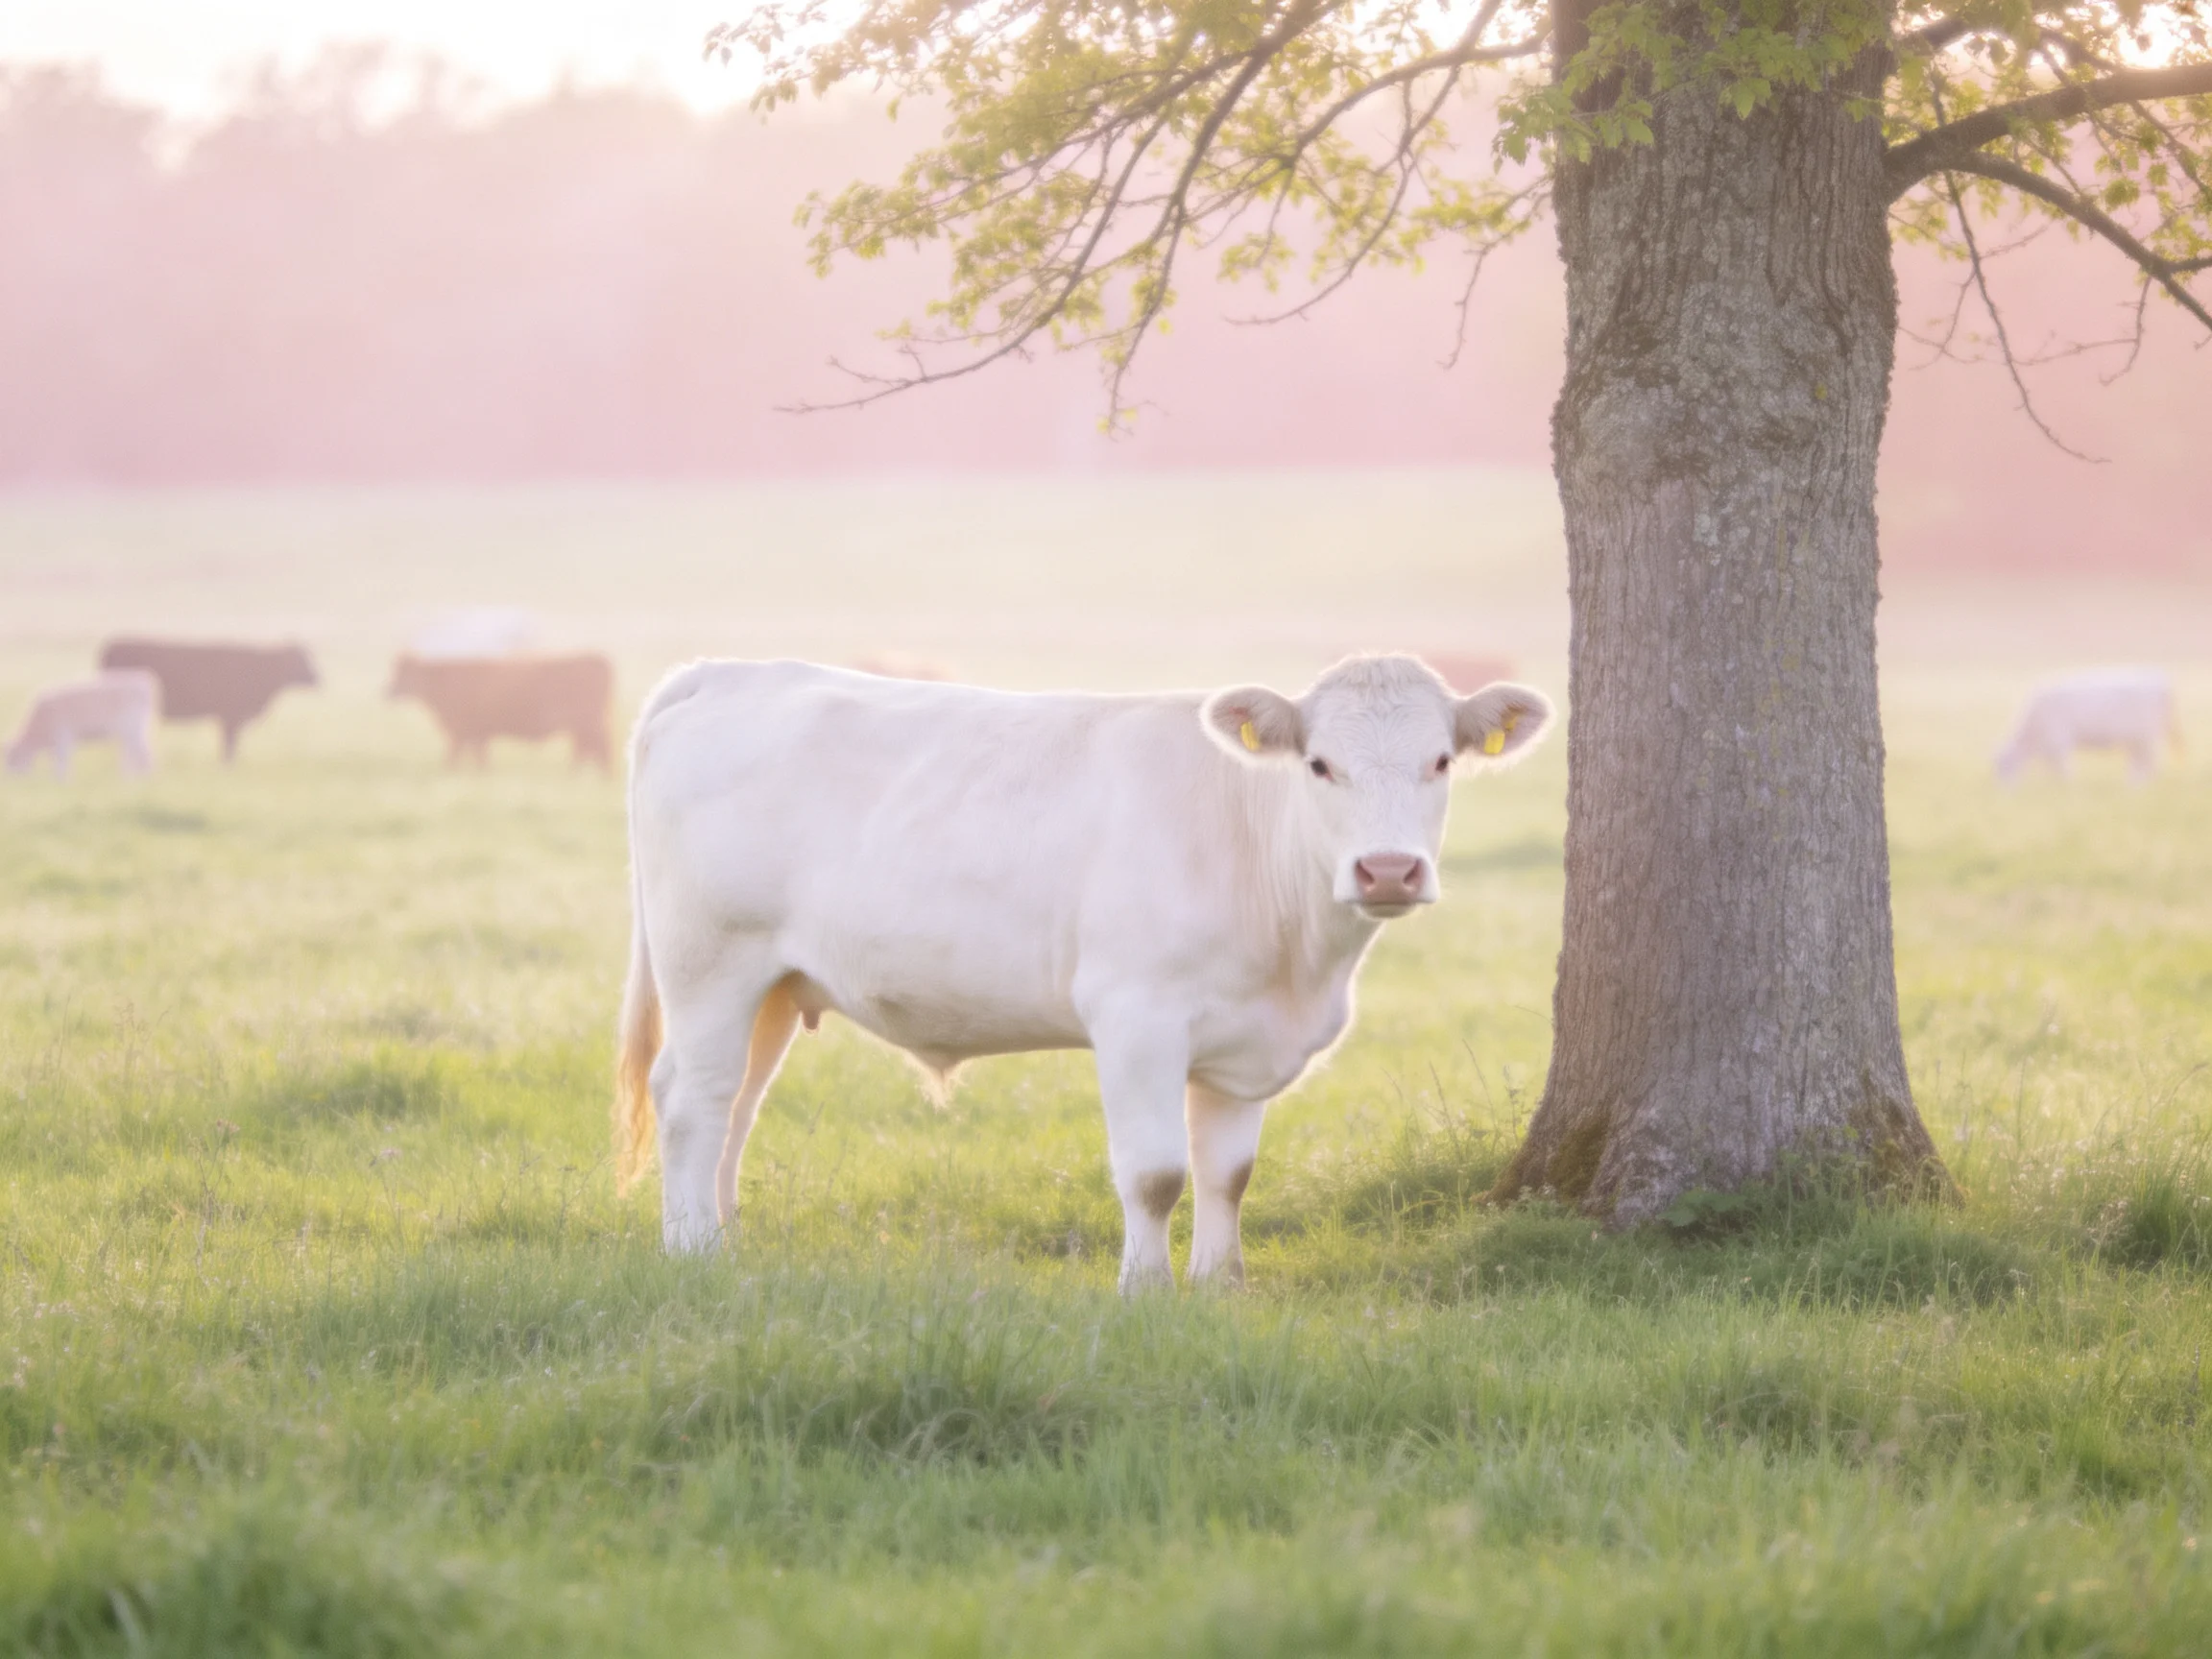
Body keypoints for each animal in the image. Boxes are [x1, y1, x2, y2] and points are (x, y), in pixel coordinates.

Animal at [6, 670, 158, 778]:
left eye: (13, 760)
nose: (12, 780)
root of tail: (141, 680)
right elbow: (56, 762)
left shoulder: (63, 737)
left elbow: (61, 762)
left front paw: (61, 783)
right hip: (130, 732)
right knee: (133, 754)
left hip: (132, 728)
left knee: (143, 753)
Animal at [388, 653, 615, 770]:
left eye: (404, 672)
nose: (387, 690)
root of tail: (598, 658)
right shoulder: (476, 734)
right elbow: (476, 757)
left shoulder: (463, 731)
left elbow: (457, 757)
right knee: (588, 751)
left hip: (588, 723)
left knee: (598, 750)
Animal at [613, 654, 1553, 1287]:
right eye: (1320, 764)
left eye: (1441, 761)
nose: (1388, 871)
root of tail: (726, 672)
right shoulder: (1136, 1016)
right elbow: (1157, 1172)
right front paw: (1146, 1289)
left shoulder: (1244, 1044)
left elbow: (1229, 1173)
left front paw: (1221, 1284)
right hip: (711, 961)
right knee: (691, 1100)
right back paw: (690, 1252)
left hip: (772, 984)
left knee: (736, 1106)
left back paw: (725, 1241)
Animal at [1996, 669, 2181, 784]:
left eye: (2005, 766)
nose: (2002, 795)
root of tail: (2158, 679)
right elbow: (2053, 769)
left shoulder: (2058, 742)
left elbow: (2062, 769)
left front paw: (2066, 786)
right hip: (2135, 740)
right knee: (2140, 761)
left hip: (2145, 736)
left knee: (2150, 762)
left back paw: (2137, 786)